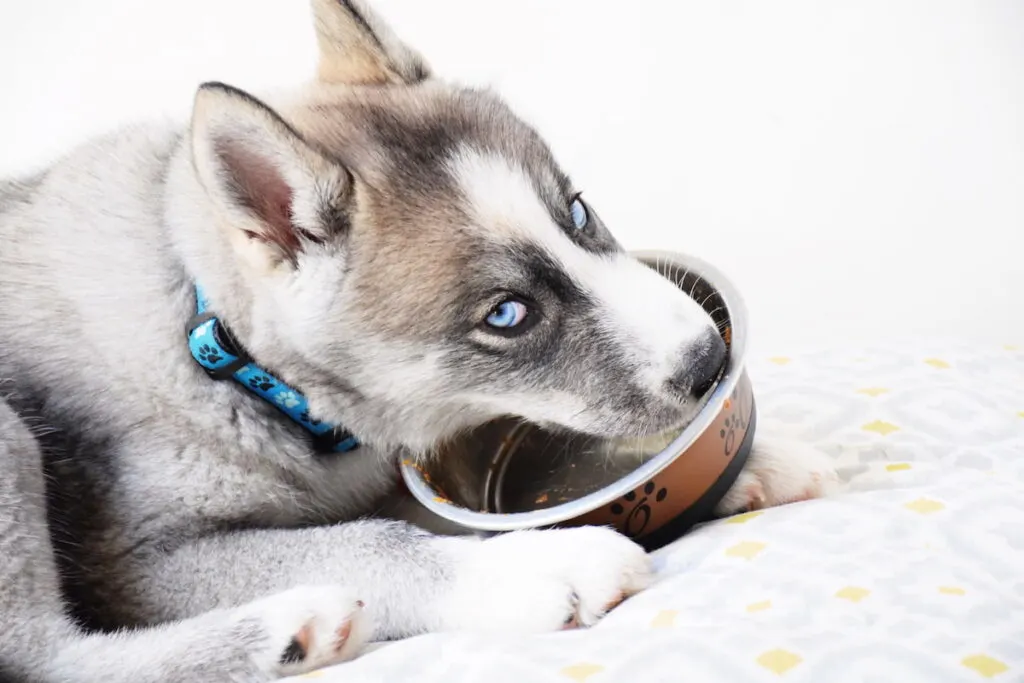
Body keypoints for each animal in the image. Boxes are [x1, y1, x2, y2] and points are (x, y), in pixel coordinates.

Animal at [0, 2, 835, 679]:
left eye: (576, 211)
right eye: (507, 314)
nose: (710, 360)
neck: (227, 354)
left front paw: (750, 459)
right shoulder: (136, 565)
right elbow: (368, 538)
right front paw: (533, 566)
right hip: (13, 437)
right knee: (44, 655)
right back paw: (286, 628)